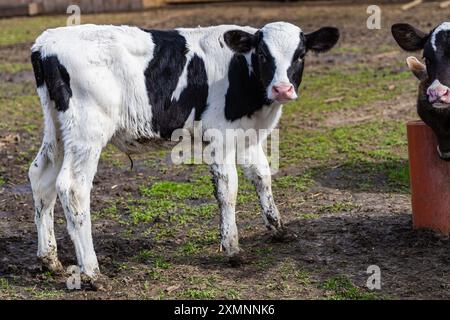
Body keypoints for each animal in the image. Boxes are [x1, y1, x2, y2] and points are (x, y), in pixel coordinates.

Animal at [29, 21, 340, 280]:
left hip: (59, 131)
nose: (282, 89)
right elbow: (228, 190)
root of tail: (46, 42)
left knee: (41, 178)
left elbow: (262, 176)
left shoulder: (249, 136)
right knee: (72, 188)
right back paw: (92, 272)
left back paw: (49, 259)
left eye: (300, 55)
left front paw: (278, 229)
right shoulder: (221, 137)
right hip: (87, 132)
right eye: (263, 54)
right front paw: (232, 248)